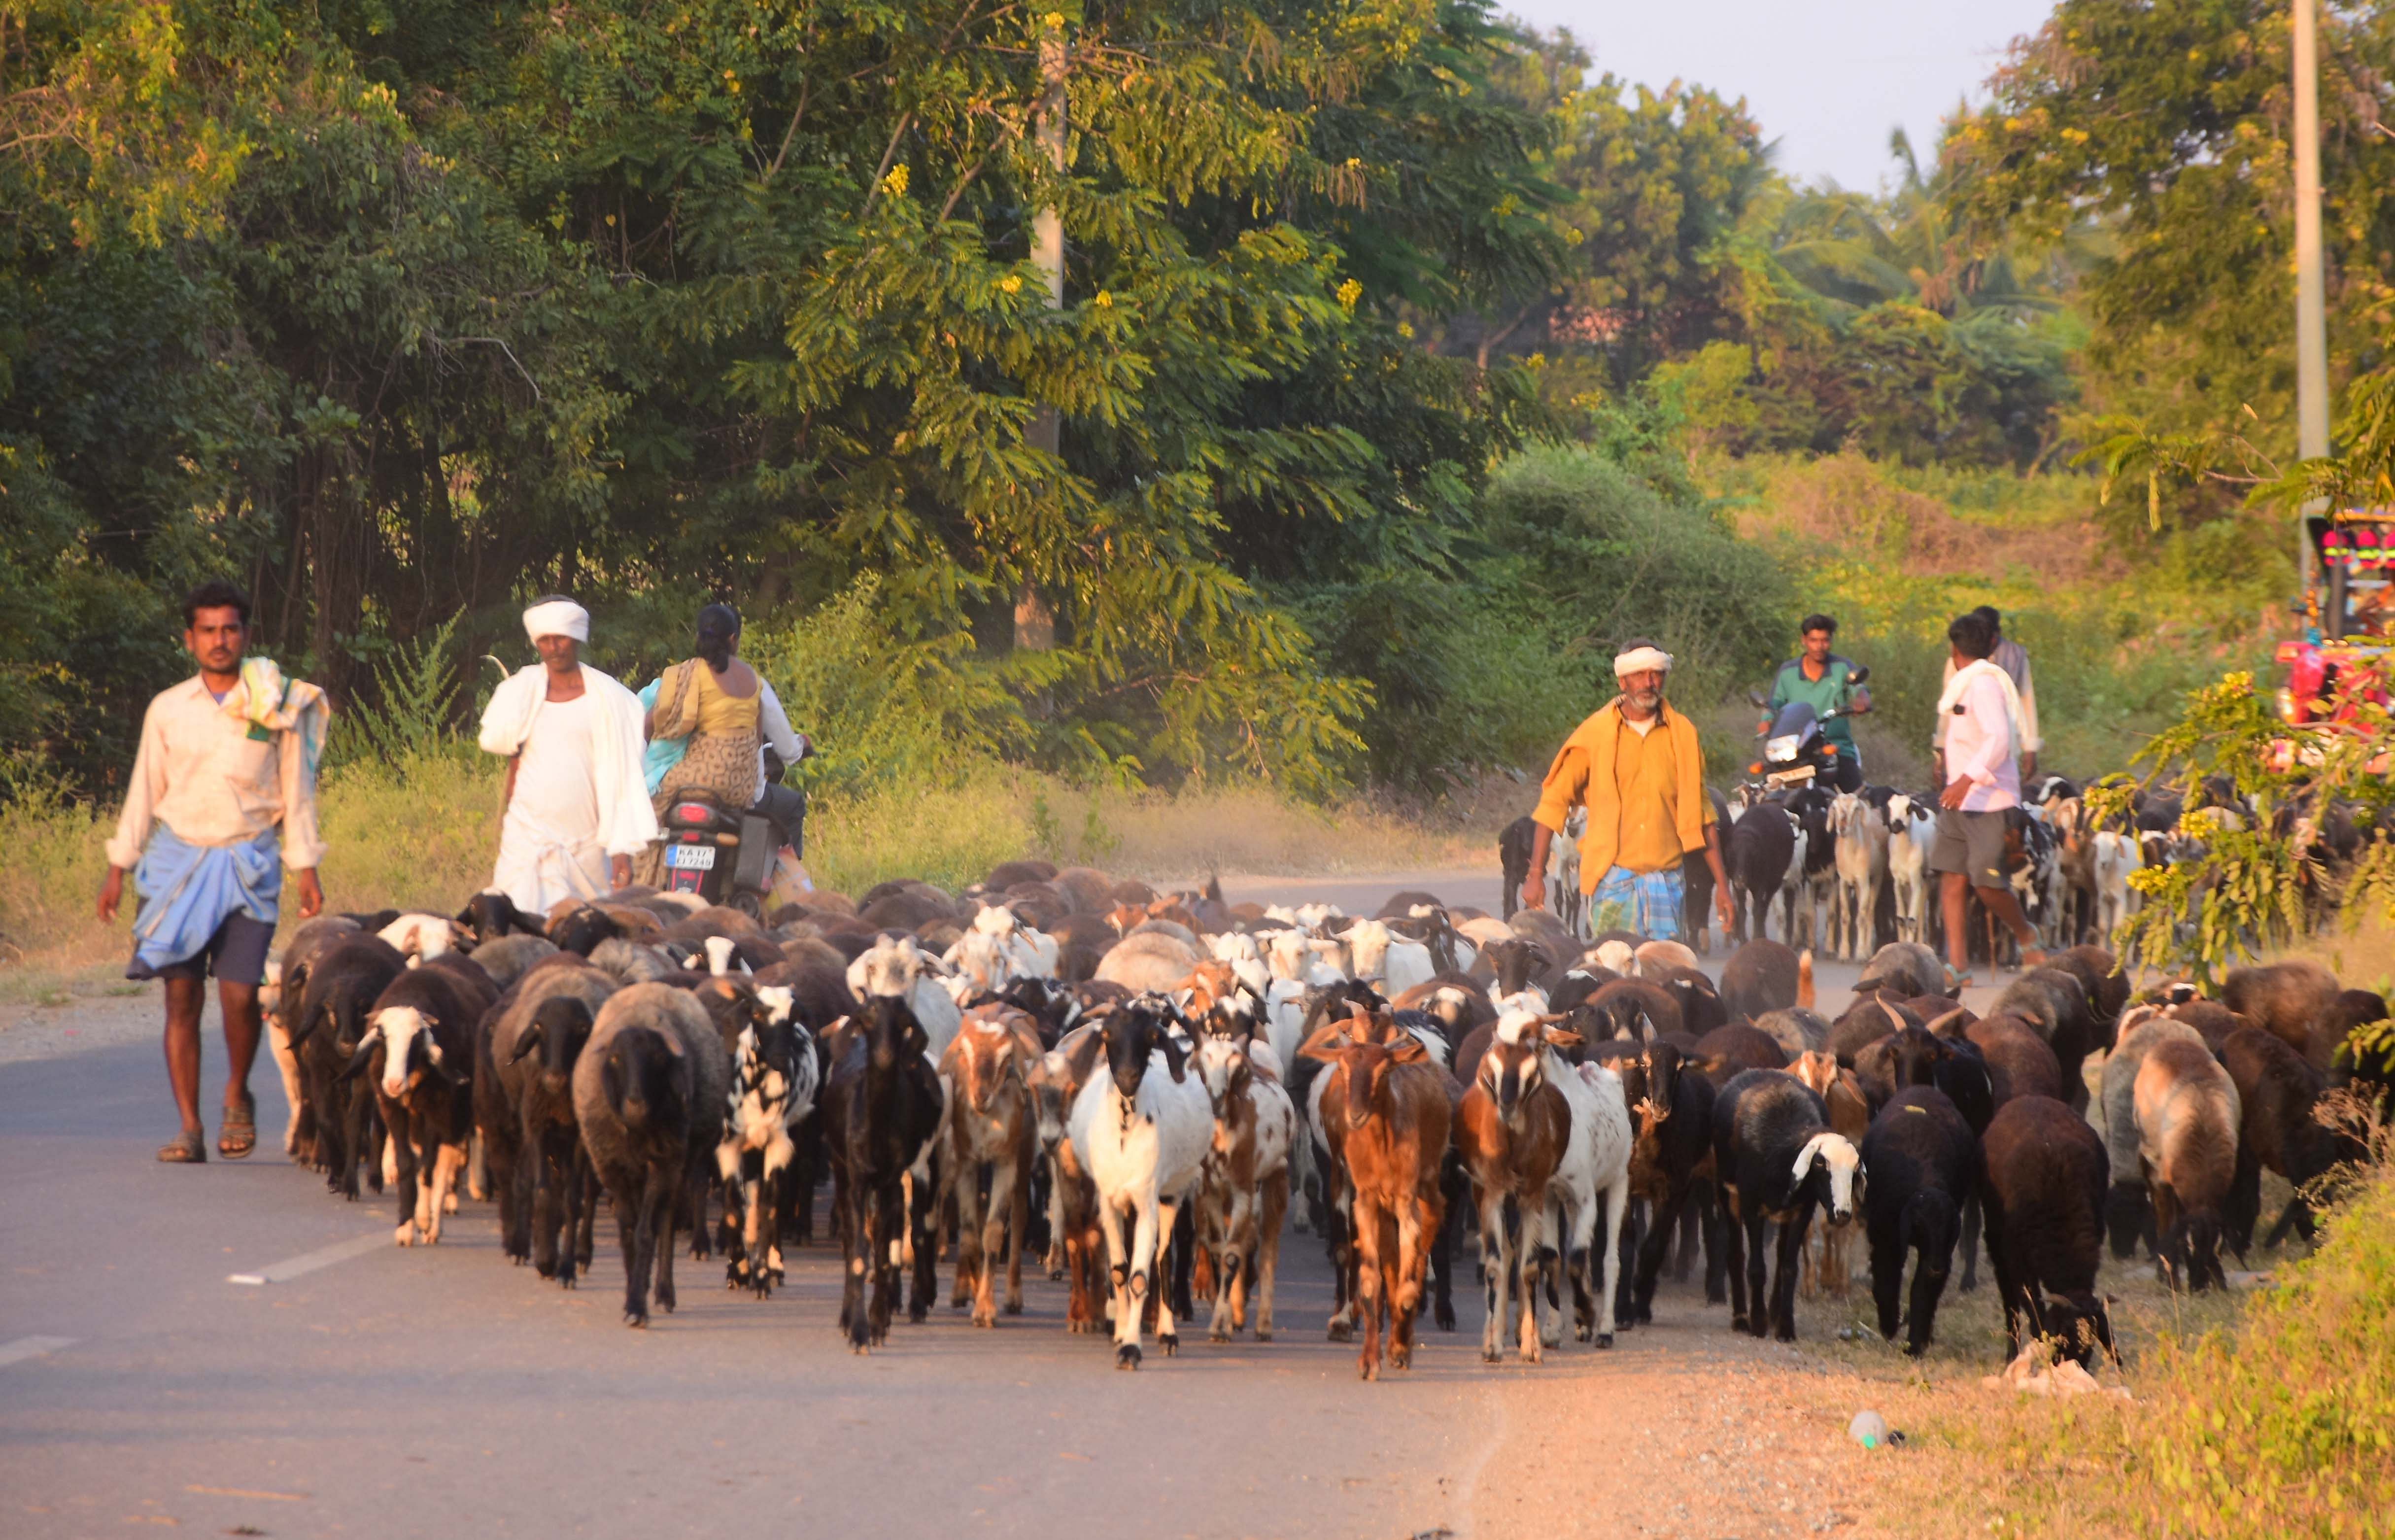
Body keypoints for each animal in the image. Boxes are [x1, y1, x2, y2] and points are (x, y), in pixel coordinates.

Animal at [1714, 1068, 1858, 1341]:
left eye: (1855, 1170)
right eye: (1820, 1164)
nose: (1843, 1213)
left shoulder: (1803, 1210)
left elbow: (1790, 1267)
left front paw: (1786, 1327)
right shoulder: (1751, 1206)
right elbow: (1757, 1268)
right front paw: (1758, 1323)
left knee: (1781, 1255)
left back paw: (1774, 1312)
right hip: (1728, 1193)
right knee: (1736, 1253)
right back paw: (1741, 1318)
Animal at [1858, 1092, 1973, 1360]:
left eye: (1950, 1228)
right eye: (1919, 1224)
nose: (1936, 1268)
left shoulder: (1940, 1252)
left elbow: (1923, 1291)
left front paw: (1916, 1344)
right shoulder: (1886, 1238)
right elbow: (1887, 1277)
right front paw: (1890, 1325)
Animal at [1973, 1096, 2126, 1360]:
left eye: (2089, 1350)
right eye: (2064, 1337)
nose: (2071, 1366)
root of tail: (2029, 1099)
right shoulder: (2017, 1259)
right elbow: (2032, 1305)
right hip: (1995, 1240)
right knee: (2009, 1300)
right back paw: (2012, 1351)